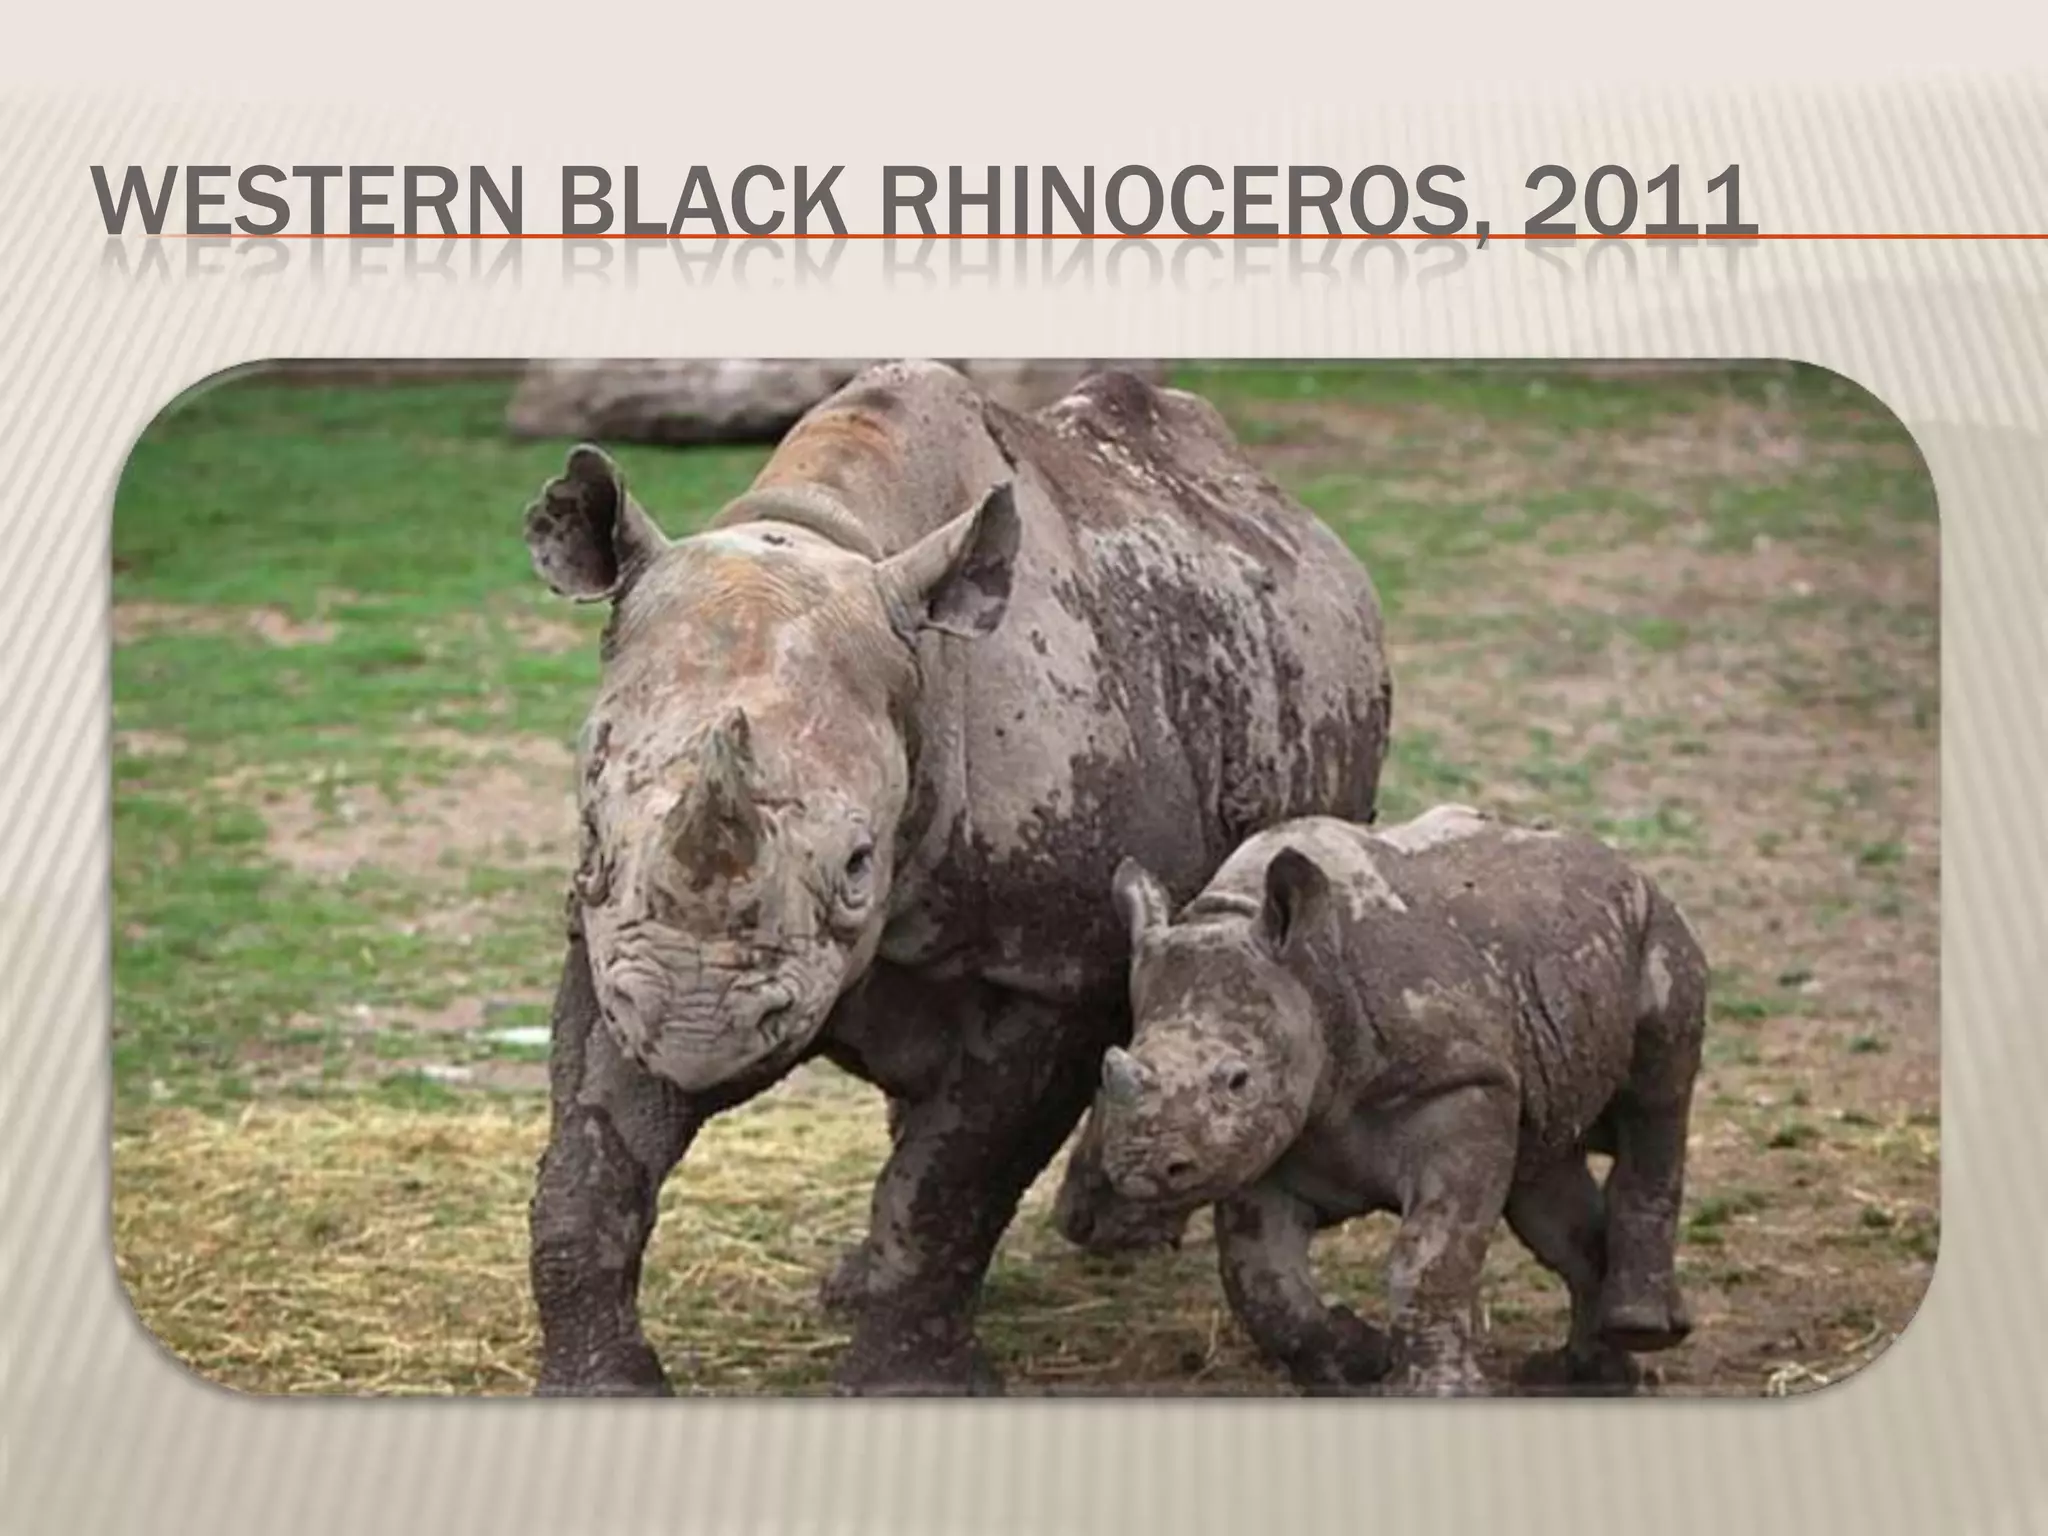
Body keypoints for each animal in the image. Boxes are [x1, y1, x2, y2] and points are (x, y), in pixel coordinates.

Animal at [520, 360, 1393, 1395]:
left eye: (858, 865)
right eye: (589, 836)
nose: (699, 1025)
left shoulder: (1053, 968)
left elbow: (954, 1181)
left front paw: (908, 1384)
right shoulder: (614, 942)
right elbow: (591, 1160)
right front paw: (602, 1385)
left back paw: (1117, 1237)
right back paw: (857, 1284)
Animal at [1094, 805, 1708, 1396]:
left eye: (1238, 1080)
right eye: (1112, 1067)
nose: (1144, 1168)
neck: (1310, 974)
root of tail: (1621, 861)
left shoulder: (1464, 1082)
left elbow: (1429, 1256)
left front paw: (1437, 1389)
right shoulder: (1271, 1138)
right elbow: (1263, 1278)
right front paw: (1357, 1361)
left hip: (1658, 928)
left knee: (1656, 1099)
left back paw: (1640, 1327)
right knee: (1547, 1190)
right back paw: (1583, 1375)